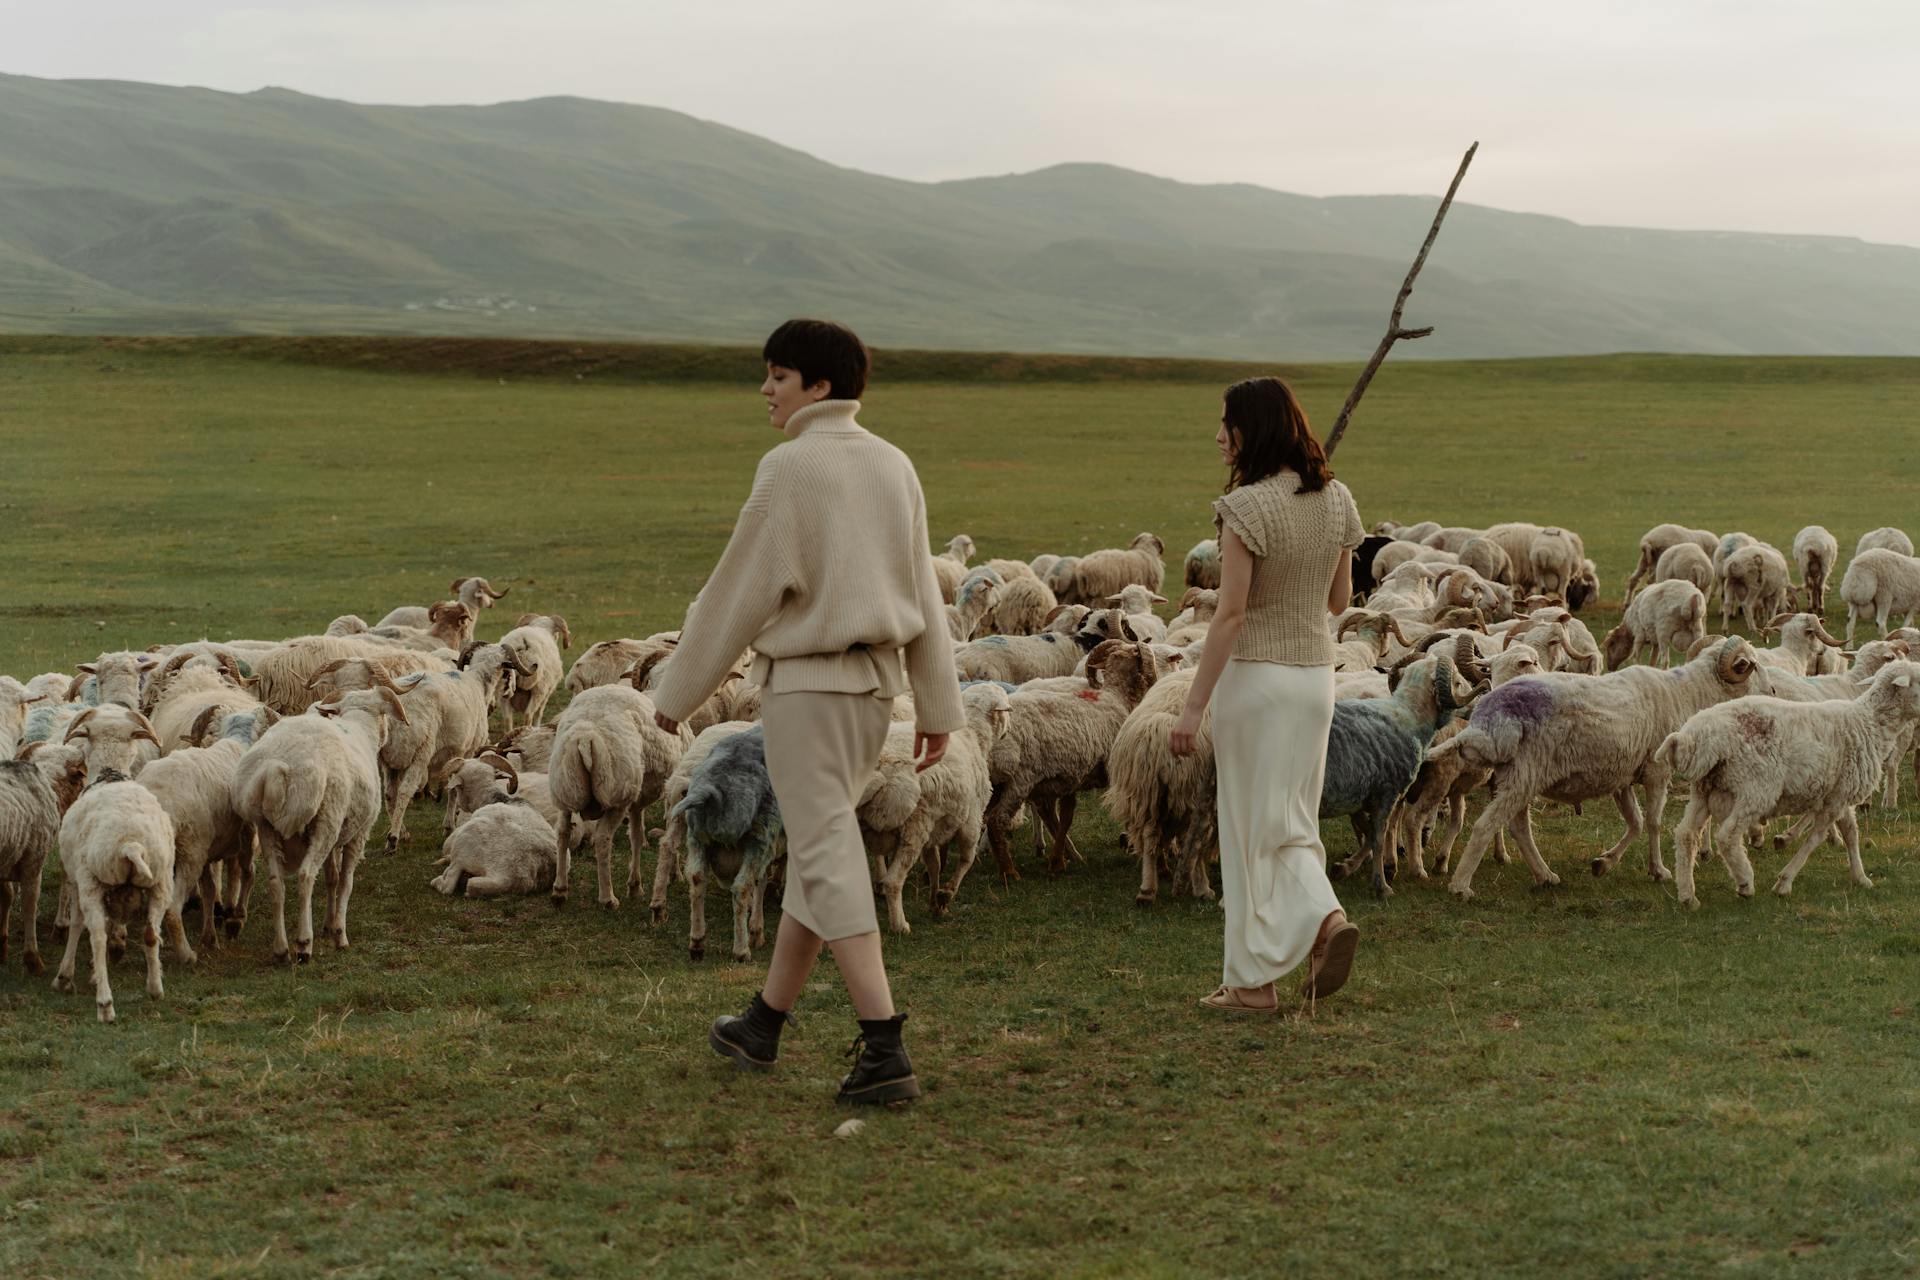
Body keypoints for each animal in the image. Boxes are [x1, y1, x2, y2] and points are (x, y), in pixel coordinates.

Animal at [52, 771, 176, 1020]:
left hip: (90, 879)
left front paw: (65, 977)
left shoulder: (77, 881)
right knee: (151, 934)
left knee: (98, 937)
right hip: (162, 881)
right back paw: (155, 988)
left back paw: (105, 1004)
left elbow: (77, 924)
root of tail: (131, 845)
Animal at [230, 690, 407, 959]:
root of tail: (277, 767)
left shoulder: (336, 837)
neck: (360, 729)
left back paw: (281, 948)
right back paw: (304, 943)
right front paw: (339, 933)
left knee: (276, 882)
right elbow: (345, 882)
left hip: (269, 828)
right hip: (326, 822)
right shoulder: (358, 833)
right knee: (305, 876)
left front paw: (328, 923)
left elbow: (331, 878)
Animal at [1443, 633, 1766, 898]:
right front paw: (1659, 870)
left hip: (1521, 774)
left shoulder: (1622, 776)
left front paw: (1604, 863)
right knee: (1487, 825)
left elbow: (1635, 821)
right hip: (1525, 774)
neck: (1685, 693)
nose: (1771, 692)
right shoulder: (1657, 770)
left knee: (1519, 826)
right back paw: (1461, 886)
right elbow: (1653, 821)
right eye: (1754, 666)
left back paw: (1545, 876)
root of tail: (1486, 717)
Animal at [1666, 667, 1920, 905]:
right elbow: (1815, 837)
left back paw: (1687, 895)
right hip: (1755, 787)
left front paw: (1860, 877)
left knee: (1685, 835)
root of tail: (1695, 737)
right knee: (1727, 836)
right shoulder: (1837, 798)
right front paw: (1785, 881)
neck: (1871, 724)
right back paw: (1745, 882)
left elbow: (1851, 833)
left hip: (1703, 790)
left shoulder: (1840, 791)